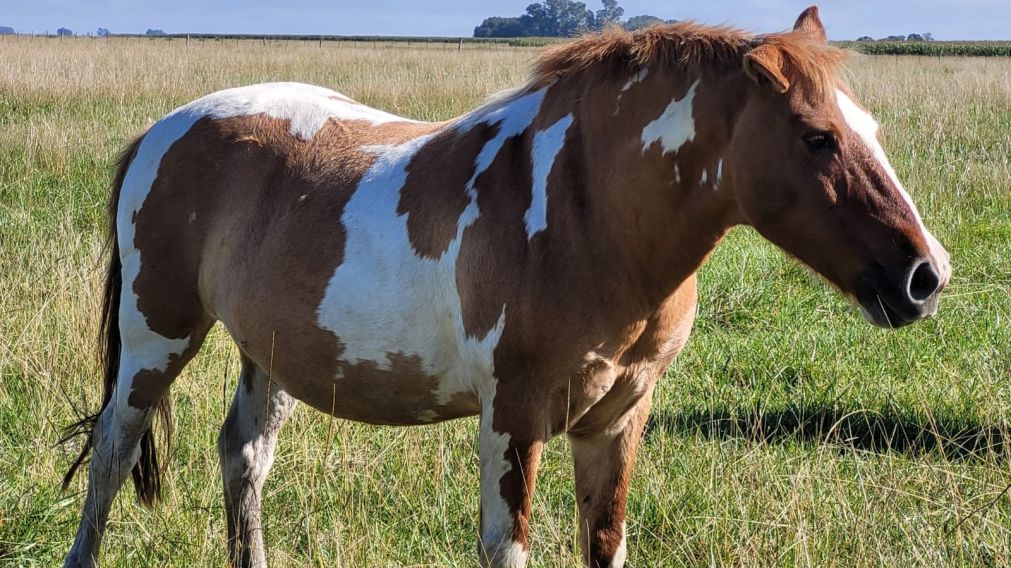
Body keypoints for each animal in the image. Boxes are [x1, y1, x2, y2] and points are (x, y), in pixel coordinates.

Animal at [62, 6, 950, 567]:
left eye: (867, 128)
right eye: (816, 137)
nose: (924, 276)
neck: (586, 214)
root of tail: (166, 127)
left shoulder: (617, 420)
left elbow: (604, 541)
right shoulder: (513, 420)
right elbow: (506, 545)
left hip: (269, 352)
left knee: (244, 459)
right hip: (156, 337)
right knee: (111, 453)